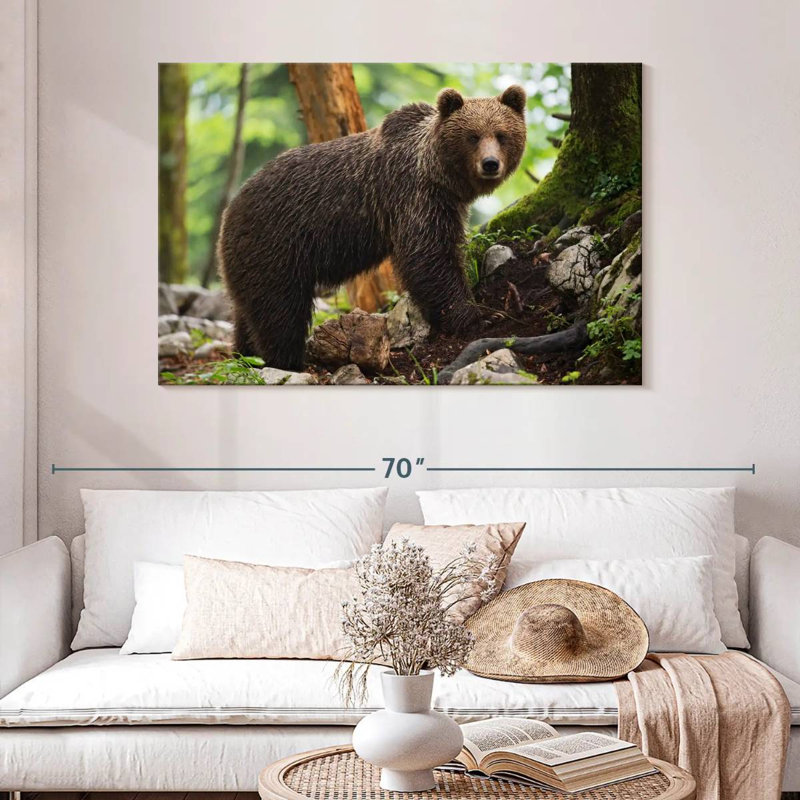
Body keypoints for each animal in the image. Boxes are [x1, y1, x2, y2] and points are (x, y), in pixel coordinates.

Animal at [218, 84, 527, 371]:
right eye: (472, 136)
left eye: (501, 134)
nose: (490, 164)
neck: (439, 175)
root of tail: (229, 210)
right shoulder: (415, 196)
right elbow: (429, 257)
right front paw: (480, 316)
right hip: (275, 246)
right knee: (280, 311)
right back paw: (287, 360)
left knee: (248, 312)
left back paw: (245, 355)